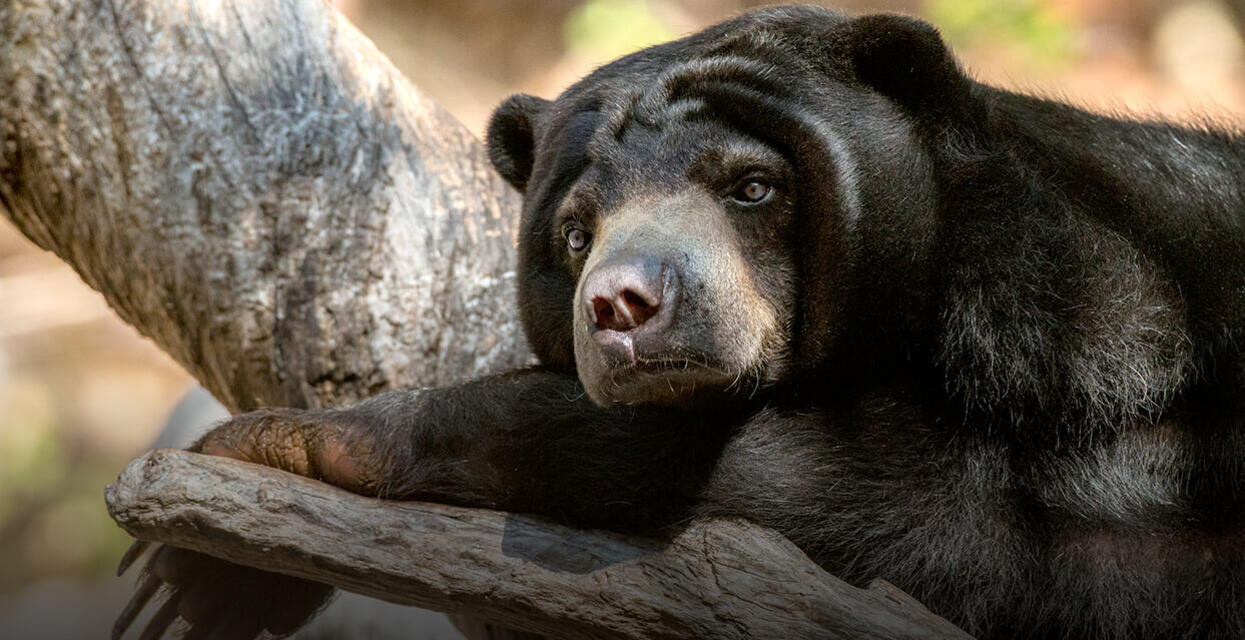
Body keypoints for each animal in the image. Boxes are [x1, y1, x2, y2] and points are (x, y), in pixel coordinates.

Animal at [117, 6, 1245, 637]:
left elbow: (909, 517)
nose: (622, 304)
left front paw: (274, 462)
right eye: (574, 231)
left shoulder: (1102, 347)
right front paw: (215, 580)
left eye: (753, 186)